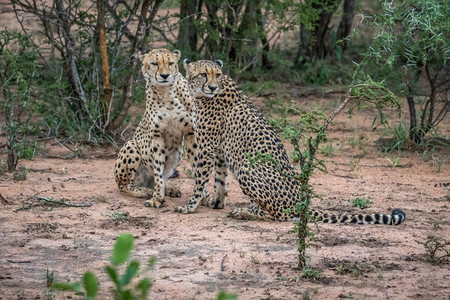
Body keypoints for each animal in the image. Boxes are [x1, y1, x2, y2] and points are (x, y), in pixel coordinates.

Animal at [113, 49, 196, 209]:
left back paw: (168, 189)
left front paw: (205, 197)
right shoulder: (157, 135)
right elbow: (158, 170)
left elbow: (198, 166)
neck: (166, 92)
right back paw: (144, 191)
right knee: (125, 186)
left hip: (177, 153)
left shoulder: (191, 132)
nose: (164, 75)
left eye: (171, 63)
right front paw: (157, 198)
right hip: (131, 146)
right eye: (154, 63)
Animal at [175, 58, 404, 225]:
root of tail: (299, 202)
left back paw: (245, 212)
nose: (213, 87)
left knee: (278, 215)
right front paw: (216, 202)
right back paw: (251, 208)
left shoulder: (207, 147)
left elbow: (200, 179)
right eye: (203, 74)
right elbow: (219, 180)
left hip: (247, 167)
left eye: (217, 75)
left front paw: (190, 206)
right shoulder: (220, 150)